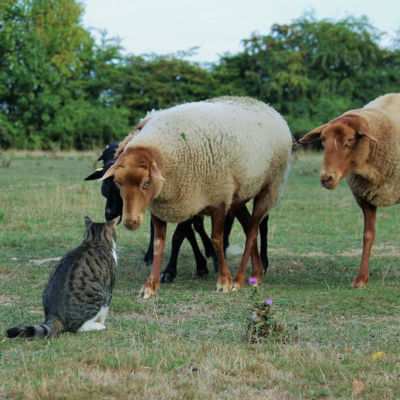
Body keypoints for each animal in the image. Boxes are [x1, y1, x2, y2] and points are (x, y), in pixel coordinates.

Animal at [103, 96, 290, 296]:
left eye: (146, 183)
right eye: (118, 183)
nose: (130, 223)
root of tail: (269, 108)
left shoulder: (218, 198)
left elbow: (216, 239)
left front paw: (224, 280)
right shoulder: (163, 207)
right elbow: (158, 244)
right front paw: (151, 285)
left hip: (269, 188)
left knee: (254, 230)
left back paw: (240, 279)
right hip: (239, 196)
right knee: (249, 226)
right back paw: (257, 273)